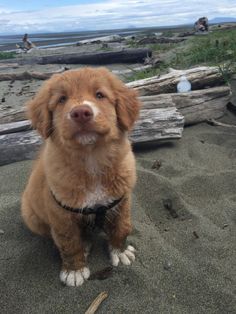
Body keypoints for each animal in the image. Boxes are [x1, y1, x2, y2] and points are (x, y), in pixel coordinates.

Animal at [21, 67, 140, 288]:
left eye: (100, 95)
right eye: (62, 99)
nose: (81, 113)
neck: (91, 159)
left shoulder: (122, 201)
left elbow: (122, 227)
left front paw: (120, 251)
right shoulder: (60, 215)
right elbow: (69, 243)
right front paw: (74, 270)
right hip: (31, 216)